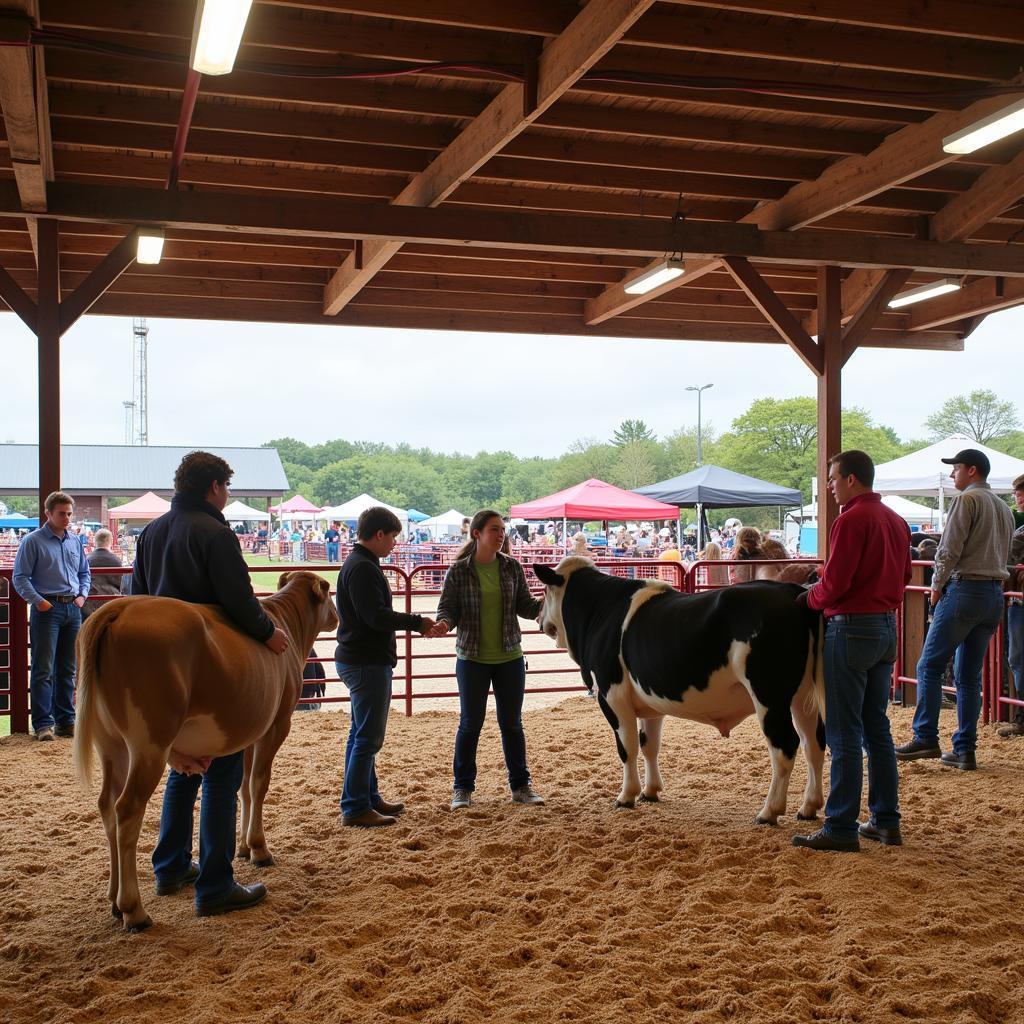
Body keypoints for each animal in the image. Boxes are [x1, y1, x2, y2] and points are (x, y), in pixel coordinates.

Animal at [73, 573, 335, 933]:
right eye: (329, 592)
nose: (337, 616)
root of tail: (118, 609)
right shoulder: (277, 724)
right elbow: (259, 785)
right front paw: (260, 849)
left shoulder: (250, 733)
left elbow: (244, 789)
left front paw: (243, 848)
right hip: (149, 744)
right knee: (127, 810)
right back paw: (134, 910)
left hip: (111, 745)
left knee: (106, 806)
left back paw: (114, 900)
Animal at [532, 557, 827, 827]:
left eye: (545, 590)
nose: (537, 618)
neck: (601, 612)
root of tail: (790, 591)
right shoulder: (649, 705)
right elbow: (649, 745)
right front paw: (650, 792)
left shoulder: (612, 695)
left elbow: (627, 748)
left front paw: (626, 796)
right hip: (803, 697)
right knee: (813, 743)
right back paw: (808, 807)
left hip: (769, 695)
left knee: (785, 746)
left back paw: (769, 812)